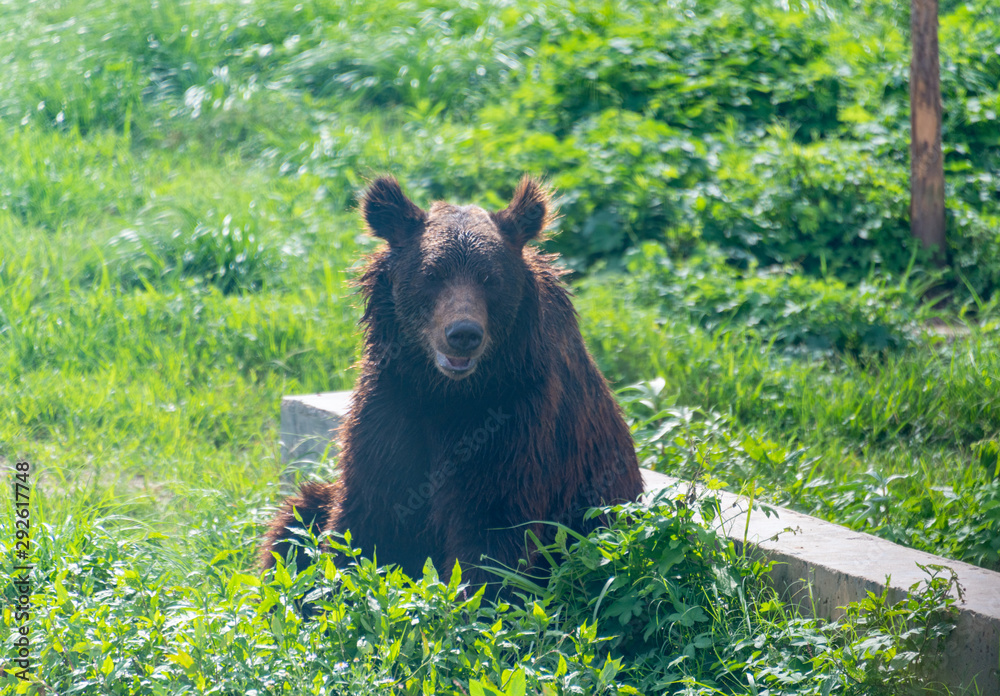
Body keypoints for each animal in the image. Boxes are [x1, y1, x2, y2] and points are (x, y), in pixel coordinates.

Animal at [260, 176, 643, 591]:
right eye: (432, 274)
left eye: (490, 278)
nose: (463, 334)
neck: (445, 391)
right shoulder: (390, 401)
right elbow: (367, 518)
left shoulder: (518, 417)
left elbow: (494, 533)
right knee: (296, 515)